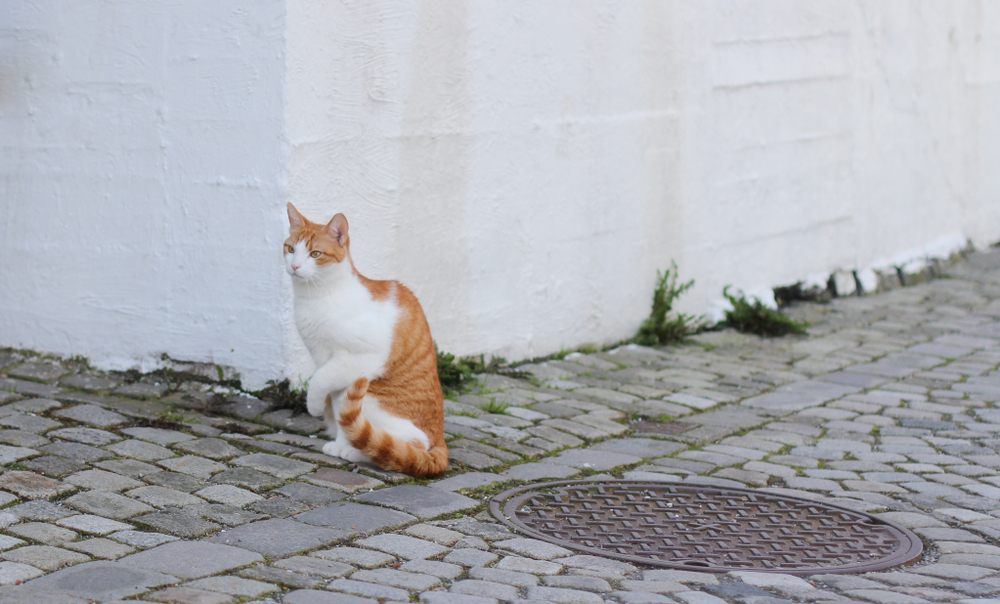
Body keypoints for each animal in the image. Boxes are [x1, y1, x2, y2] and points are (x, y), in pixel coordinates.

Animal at [284, 205, 452, 478]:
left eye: (315, 254)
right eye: (290, 249)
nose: (295, 266)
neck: (316, 297)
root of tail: (441, 440)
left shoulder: (357, 360)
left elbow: (319, 381)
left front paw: (316, 408)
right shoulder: (325, 361)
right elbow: (339, 410)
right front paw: (340, 441)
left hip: (372, 396)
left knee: (413, 444)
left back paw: (361, 452)